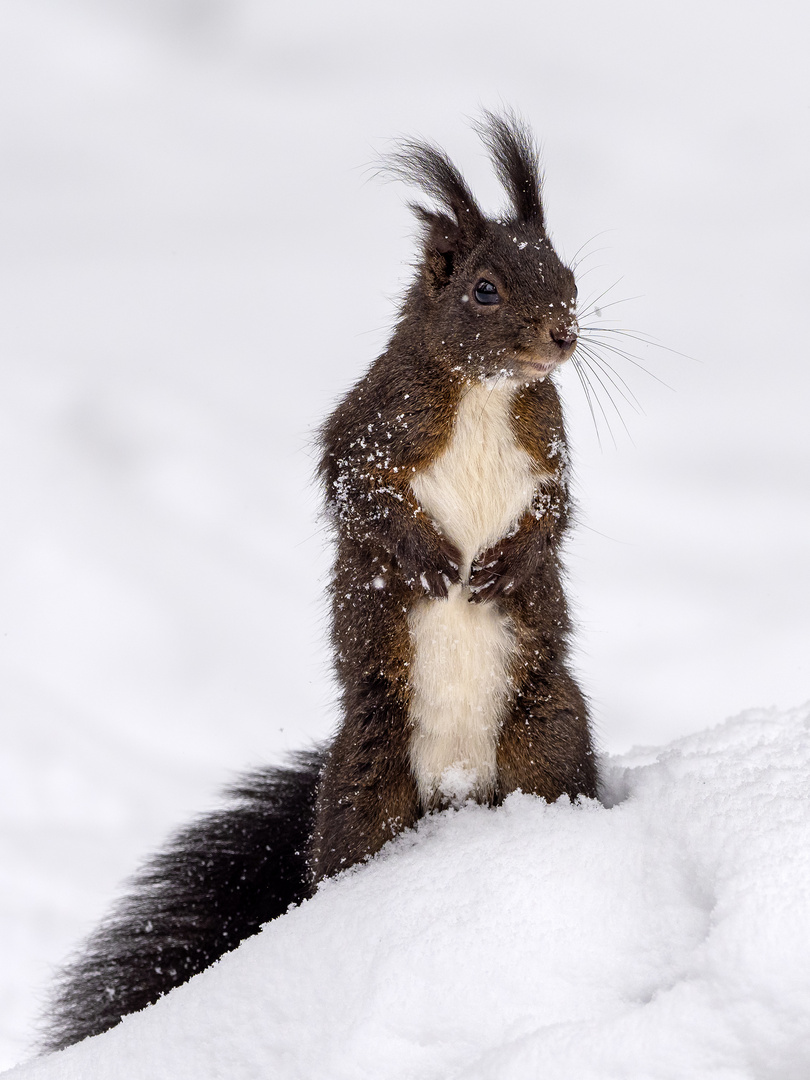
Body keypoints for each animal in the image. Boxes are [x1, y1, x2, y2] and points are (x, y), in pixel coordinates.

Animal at [41, 111, 600, 1054]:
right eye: (484, 290)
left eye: (566, 273)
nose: (562, 335)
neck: (488, 395)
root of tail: (456, 791)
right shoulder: (370, 426)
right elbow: (355, 489)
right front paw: (430, 560)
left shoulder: (551, 450)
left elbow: (554, 514)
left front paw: (501, 566)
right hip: (366, 790)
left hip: (545, 740)